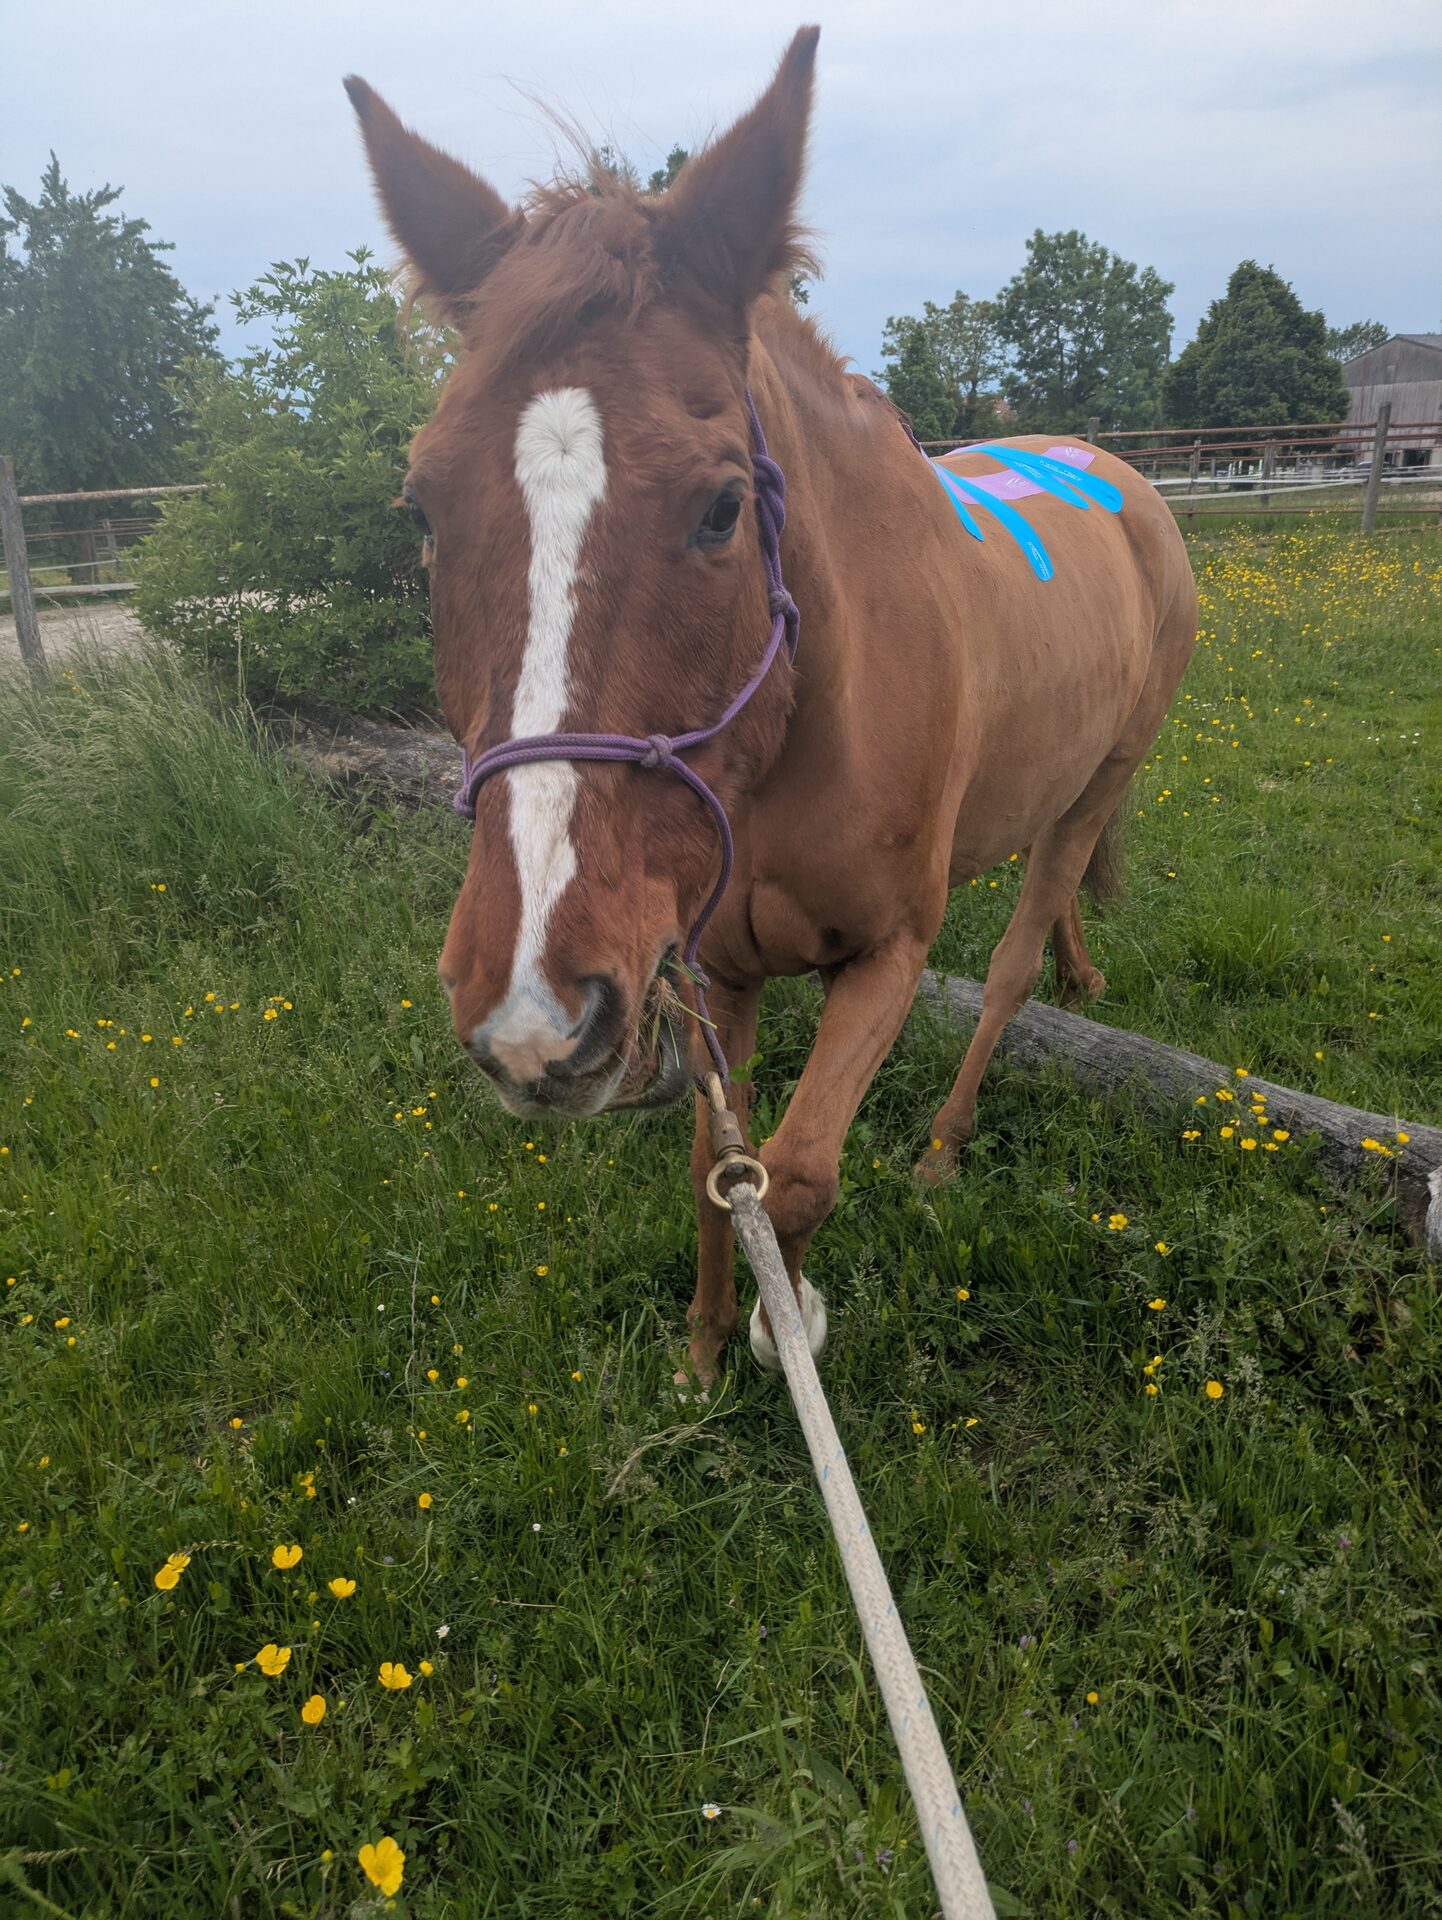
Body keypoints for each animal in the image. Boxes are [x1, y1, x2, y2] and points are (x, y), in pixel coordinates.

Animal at [344, 27, 1197, 1386]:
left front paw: (781, 1317)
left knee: (1011, 962)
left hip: (1104, 775)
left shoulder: (886, 957)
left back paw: (947, 1139)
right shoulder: (708, 967)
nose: (533, 1012)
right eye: (421, 506)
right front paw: (700, 1352)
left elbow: (792, 1176)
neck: (792, 741)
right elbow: (716, 1166)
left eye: (720, 508)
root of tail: (1121, 478)